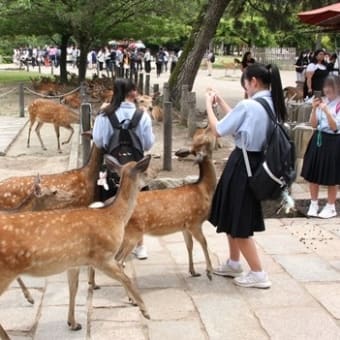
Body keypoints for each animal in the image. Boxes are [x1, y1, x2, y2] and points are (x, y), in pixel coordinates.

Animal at [0, 155, 151, 340]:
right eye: (146, 172)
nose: (150, 182)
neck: (114, 217)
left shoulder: (74, 262)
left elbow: (74, 288)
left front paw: (73, 323)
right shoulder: (103, 256)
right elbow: (127, 278)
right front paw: (144, 310)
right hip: (4, 273)